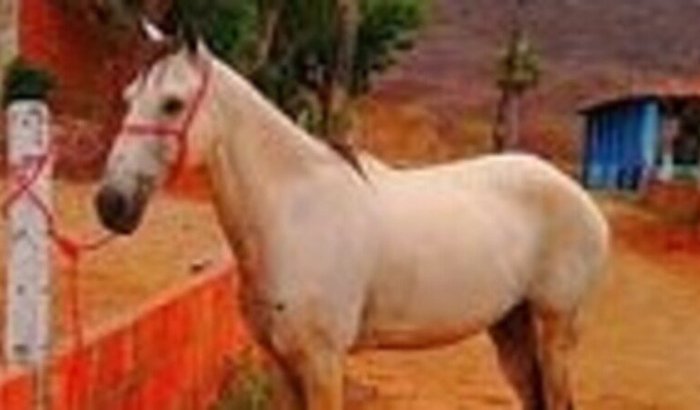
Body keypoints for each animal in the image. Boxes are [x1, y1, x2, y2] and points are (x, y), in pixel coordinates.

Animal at [95, 32, 609, 410]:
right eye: (127, 97)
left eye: (173, 103)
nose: (110, 204)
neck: (294, 214)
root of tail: (581, 199)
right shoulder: (284, 363)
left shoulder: (322, 362)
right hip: (511, 327)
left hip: (554, 327)